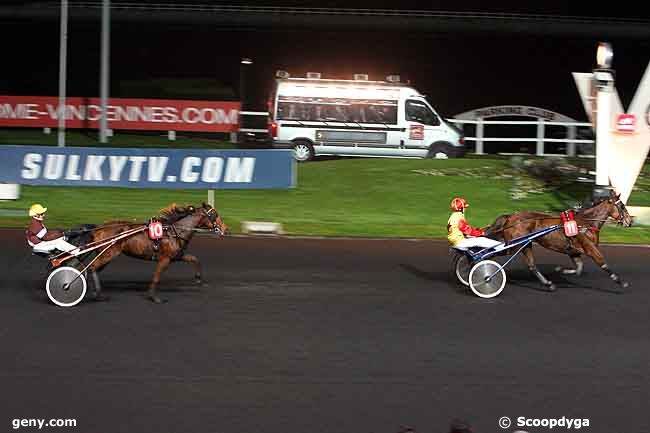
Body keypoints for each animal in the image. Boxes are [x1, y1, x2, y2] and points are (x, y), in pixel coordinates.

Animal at [69, 201, 227, 302]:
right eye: (214, 215)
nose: (225, 229)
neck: (174, 231)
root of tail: (98, 228)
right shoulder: (165, 259)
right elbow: (156, 277)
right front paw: (154, 297)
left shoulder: (177, 255)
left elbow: (195, 259)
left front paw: (199, 279)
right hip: (109, 253)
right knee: (92, 268)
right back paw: (95, 293)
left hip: (104, 253)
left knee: (91, 269)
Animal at [486, 192, 632, 290]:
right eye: (622, 206)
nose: (630, 221)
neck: (586, 223)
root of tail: (511, 217)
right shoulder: (590, 247)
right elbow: (603, 263)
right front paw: (621, 281)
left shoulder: (574, 252)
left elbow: (579, 269)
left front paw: (561, 270)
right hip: (514, 245)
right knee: (492, 253)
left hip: (525, 244)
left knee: (532, 265)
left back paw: (548, 284)